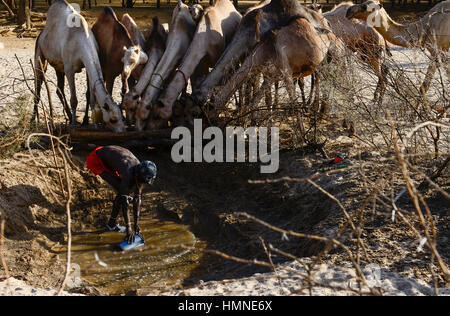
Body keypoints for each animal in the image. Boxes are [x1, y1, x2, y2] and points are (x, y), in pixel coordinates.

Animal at [34, 0, 124, 132]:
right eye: (113, 119)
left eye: (121, 116)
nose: (123, 130)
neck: (82, 42)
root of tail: (41, 33)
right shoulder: (69, 69)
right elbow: (74, 100)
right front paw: (73, 124)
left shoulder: (87, 67)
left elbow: (91, 97)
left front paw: (94, 125)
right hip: (39, 51)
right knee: (38, 83)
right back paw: (33, 119)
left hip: (58, 65)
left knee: (59, 88)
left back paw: (69, 116)